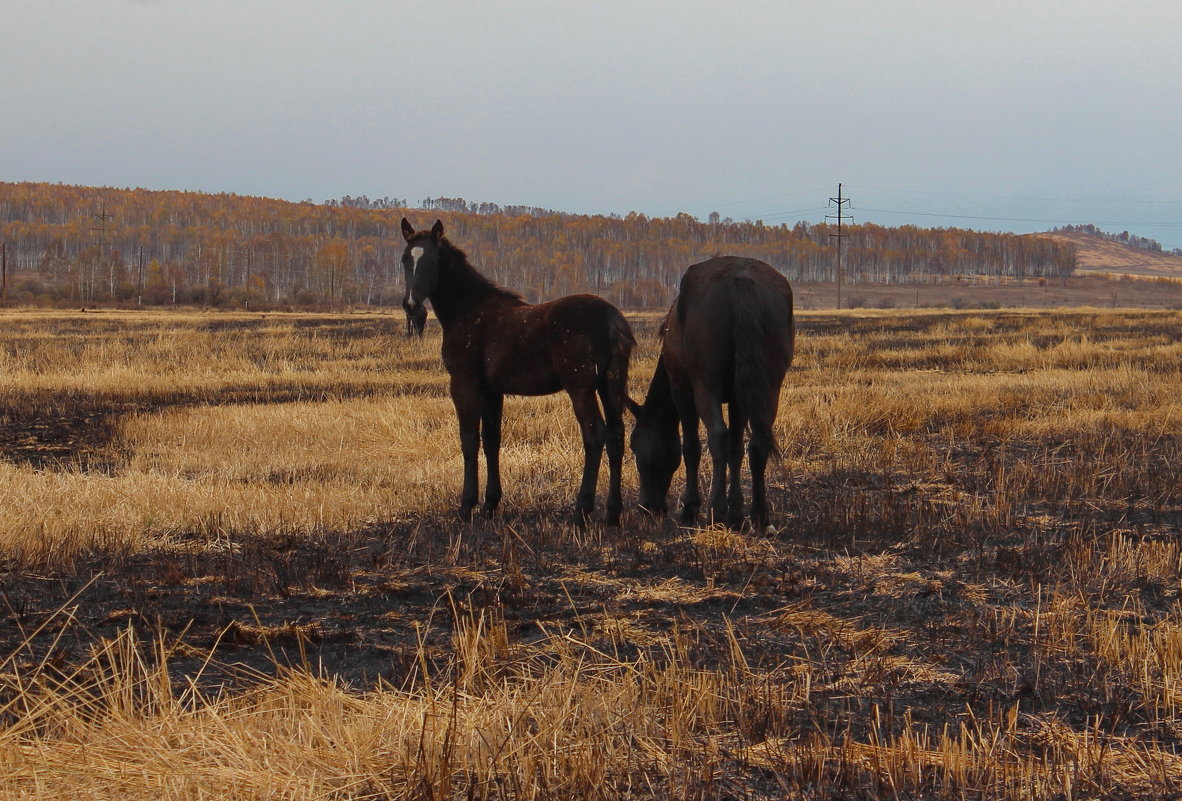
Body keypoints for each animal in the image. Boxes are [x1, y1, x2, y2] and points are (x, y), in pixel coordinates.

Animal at [399, 216, 638, 524]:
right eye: (405, 259)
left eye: (432, 261)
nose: (411, 305)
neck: (469, 310)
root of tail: (611, 318)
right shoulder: (491, 390)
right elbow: (491, 439)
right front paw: (490, 504)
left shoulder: (464, 382)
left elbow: (468, 440)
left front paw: (466, 506)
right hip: (608, 386)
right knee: (616, 436)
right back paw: (612, 513)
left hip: (581, 388)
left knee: (595, 435)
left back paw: (581, 510)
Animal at [628, 258, 794, 534]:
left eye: (635, 446)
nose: (647, 508)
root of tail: (741, 281)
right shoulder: (738, 399)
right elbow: (736, 449)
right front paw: (736, 512)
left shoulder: (682, 392)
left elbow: (691, 447)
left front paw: (691, 507)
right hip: (769, 387)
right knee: (757, 444)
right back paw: (760, 516)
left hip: (706, 387)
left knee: (717, 436)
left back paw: (715, 510)